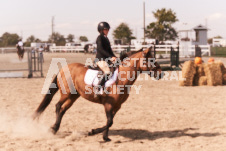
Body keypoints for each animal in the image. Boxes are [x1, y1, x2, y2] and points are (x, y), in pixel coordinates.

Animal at [32, 46, 162, 142]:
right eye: (151, 60)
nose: (161, 74)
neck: (122, 79)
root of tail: (63, 68)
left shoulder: (117, 106)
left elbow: (110, 121)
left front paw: (105, 137)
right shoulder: (108, 104)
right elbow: (110, 121)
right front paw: (93, 132)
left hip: (73, 96)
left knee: (63, 109)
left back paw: (54, 128)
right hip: (66, 94)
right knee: (58, 106)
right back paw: (54, 128)